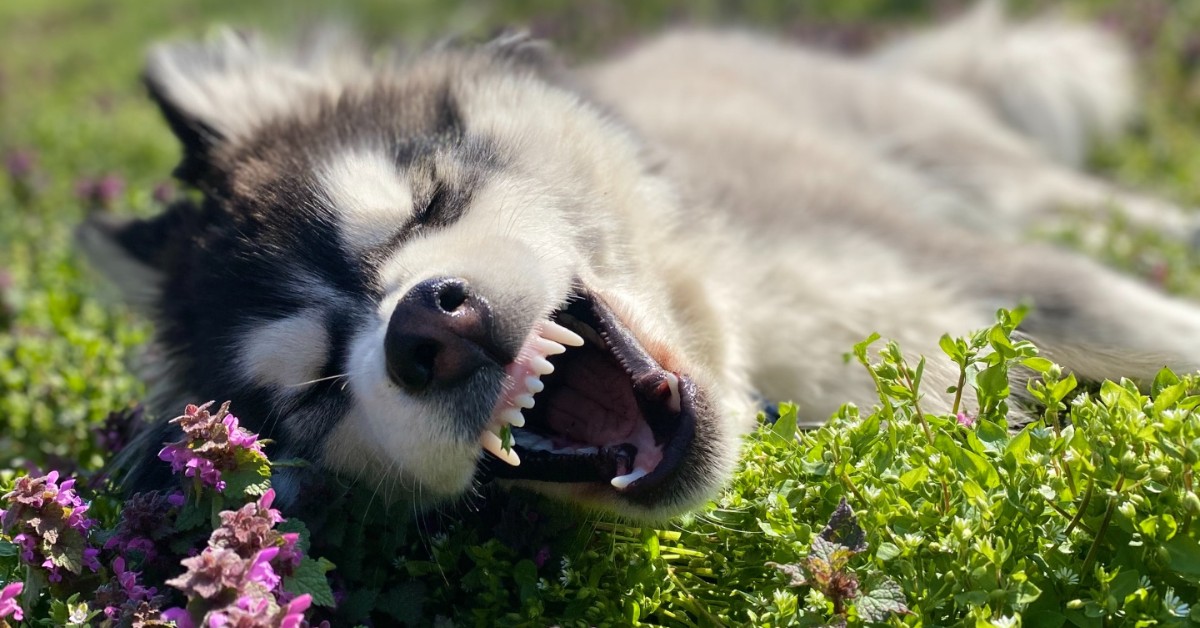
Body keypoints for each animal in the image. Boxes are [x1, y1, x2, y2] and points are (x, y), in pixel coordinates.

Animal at [79, 6, 1200, 521]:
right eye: (318, 390)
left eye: (425, 205)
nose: (428, 328)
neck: (751, 353)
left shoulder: (988, 270)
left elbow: (1154, 323)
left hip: (966, 161)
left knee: (1087, 201)